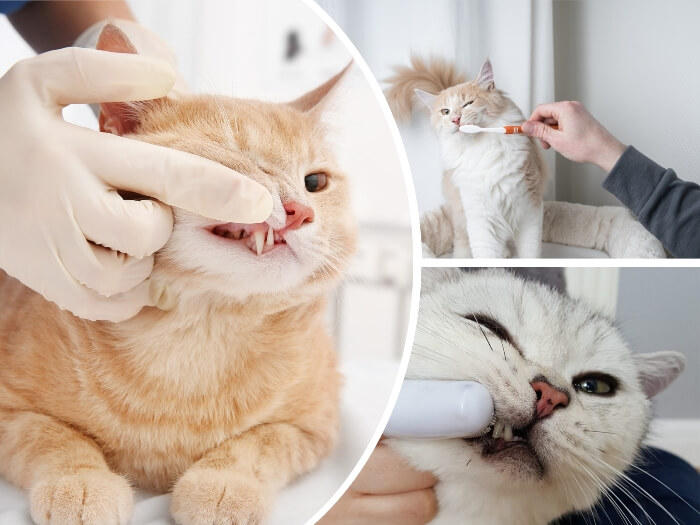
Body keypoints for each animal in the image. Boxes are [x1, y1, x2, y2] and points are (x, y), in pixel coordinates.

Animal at [0, 24, 356, 524]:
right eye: (232, 158)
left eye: (315, 183)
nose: (300, 212)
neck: (196, 334)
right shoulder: (8, 413)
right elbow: (52, 438)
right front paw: (82, 483)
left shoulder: (315, 425)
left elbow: (259, 443)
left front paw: (222, 485)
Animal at [388, 57, 548, 258]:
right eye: (446, 112)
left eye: (468, 104)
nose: (456, 119)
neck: (481, 149)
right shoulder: (480, 217)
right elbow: (486, 254)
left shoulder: (530, 208)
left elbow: (530, 252)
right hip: (461, 217)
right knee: (462, 243)